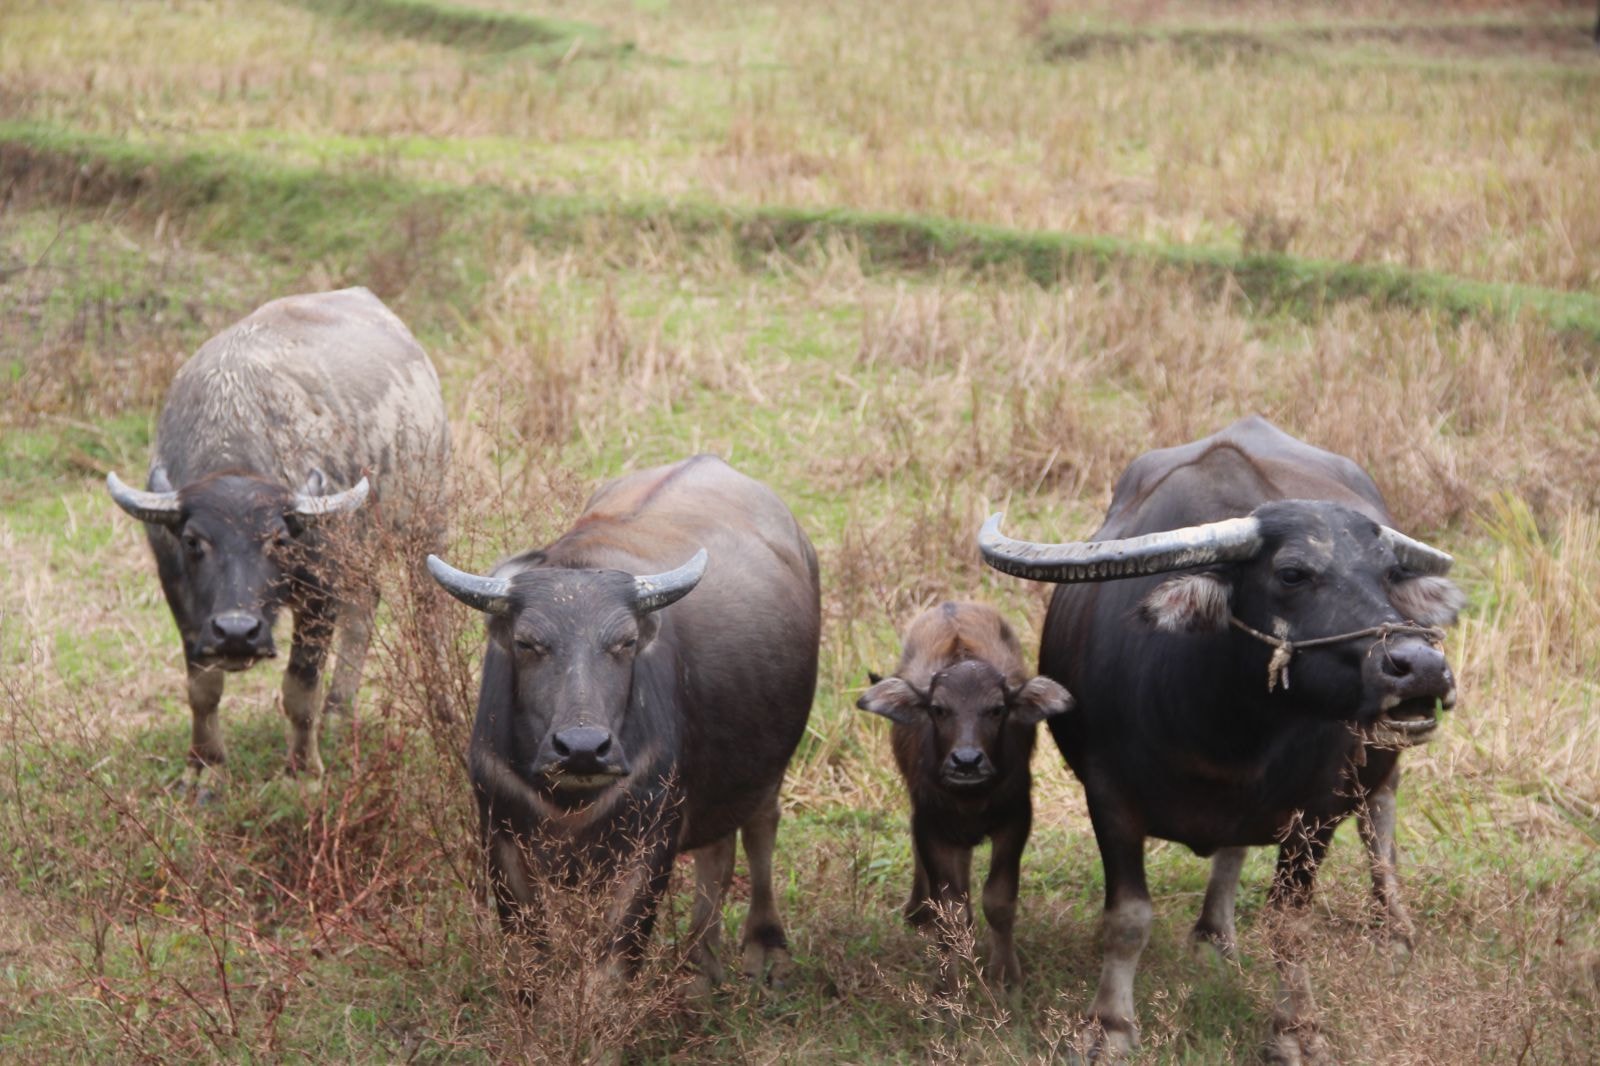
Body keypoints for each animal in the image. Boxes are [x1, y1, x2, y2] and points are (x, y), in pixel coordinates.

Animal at [107, 286, 448, 784]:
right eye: (193, 541)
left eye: (279, 540)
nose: (237, 632)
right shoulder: (180, 595)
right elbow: (202, 688)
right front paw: (205, 767)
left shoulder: (320, 589)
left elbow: (299, 688)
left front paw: (303, 770)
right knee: (366, 603)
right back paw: (338, 712)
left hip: (427, 521)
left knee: (428, 613)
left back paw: (442, 708)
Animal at [425, 451, 819, 985]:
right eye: (528, 643)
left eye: (625, 642)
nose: (583, 748)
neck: (569, 797)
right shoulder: (499, 832)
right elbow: (530, 955)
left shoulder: (652, 836)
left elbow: (614, 959)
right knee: (717, 853)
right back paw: (700, 966)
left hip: (768, 765)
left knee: (760, 828)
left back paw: (765, 947)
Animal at [857, 601, 1068, 992]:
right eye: (939, 709)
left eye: (997, 709)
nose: (966, 761)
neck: (971, 799)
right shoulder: (931, 825)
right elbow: (949, 911)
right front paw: (947, 984)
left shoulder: (1016, 819)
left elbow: (999, 900)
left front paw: (1005, 977)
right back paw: (919, 909)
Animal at [972, 416, 1465, 1062]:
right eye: (1291, 573)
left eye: (1388, 573)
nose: (1422, 666)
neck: (1225, 730)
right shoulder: (1108, 796)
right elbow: (1128, 918)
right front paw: (1109, 1026)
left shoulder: (1318, 810)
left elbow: (1290, 923)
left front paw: (1295, 1030)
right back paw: (1213, 934)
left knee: (1379, 817)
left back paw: (1396, 933)